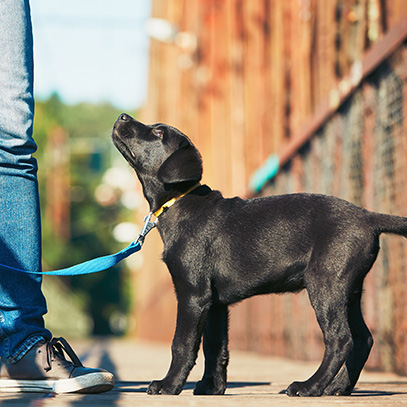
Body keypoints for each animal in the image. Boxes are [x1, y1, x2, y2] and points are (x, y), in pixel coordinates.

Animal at [112, 114, 407, 398]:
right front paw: (211, 387)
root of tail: (368, 217)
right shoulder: (215, 303)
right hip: (350, 290)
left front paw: (168, 385)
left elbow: (182, 344)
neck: (180, 201)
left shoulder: (193, 294)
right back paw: (338, 387)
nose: (122, 116)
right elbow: (215, 348)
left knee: (340, 339)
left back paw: (309, 387)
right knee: (363, 339)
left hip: (326, 283)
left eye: (158, 132)